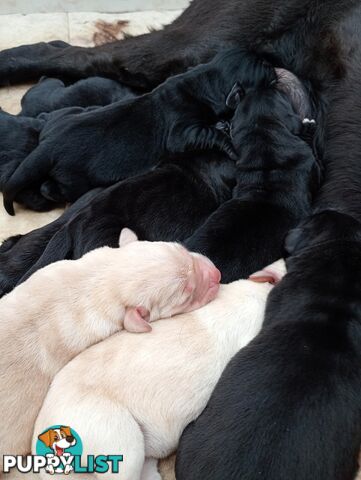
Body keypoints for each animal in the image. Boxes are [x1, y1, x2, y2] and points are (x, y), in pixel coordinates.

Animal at [2, 49, 272, 214]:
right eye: (263, 70)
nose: (274, 65)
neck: (204, 81)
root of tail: (48, 146)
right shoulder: (182, 129)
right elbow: (203, 135)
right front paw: (228, 141)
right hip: (74, 178)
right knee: (51, 188)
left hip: (64, 116)